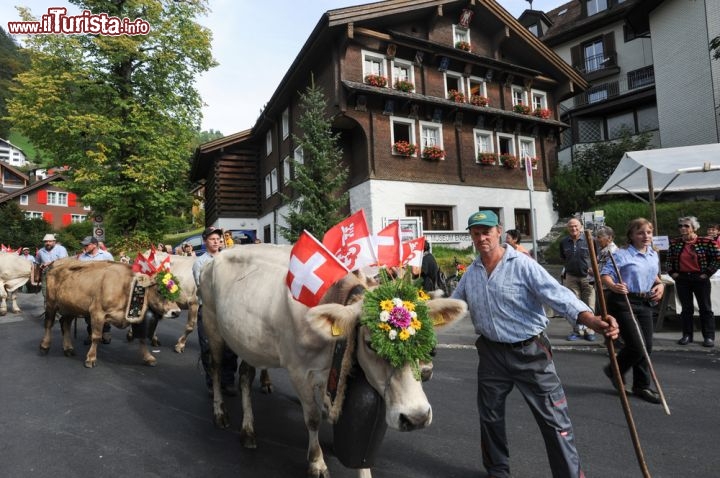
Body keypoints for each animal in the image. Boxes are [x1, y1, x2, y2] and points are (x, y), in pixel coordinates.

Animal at [39, 260, 181, 368]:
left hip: (71, 307)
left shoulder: (136, 318)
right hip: (51, 304)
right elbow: (96, 337)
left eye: (177, 292)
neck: (126, 288)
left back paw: (68, 349)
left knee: (65, 324)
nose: (176, 312)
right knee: (49, 324)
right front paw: (91, 358)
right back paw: (44, 346)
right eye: (159, 291)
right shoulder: (97, 313)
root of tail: (55, 267)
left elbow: (142, 339)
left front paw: (148, 357)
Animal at [200, 246, 466, 478]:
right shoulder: (298, 371)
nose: (416, 417)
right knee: (215, 368)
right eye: (370, 344)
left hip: (249, 341)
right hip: (212, 325)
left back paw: (248, 431)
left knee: (245, 376)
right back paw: (220, 413)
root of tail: (216, 256)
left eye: (427, 342)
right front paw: (317, 462)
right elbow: (313, 417)